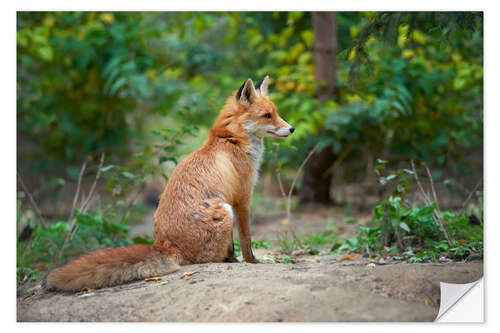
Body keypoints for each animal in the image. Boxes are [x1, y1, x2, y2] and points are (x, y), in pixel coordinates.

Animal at [45, 76, 294, 290]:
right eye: (267, 115)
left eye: (276, 113)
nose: (291, 128)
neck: (232, 141)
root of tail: (167, 247)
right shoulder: (241, 199)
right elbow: (246, 240)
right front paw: (252, 262)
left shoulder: (236, 200)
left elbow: (237, 242)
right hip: (224, 210)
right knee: (210, 257)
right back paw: (227, 261)